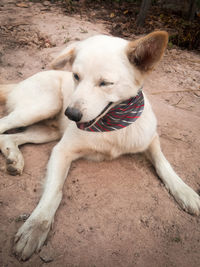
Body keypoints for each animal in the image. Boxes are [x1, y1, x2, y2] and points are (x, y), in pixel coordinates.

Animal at [0, 30, 199, 260]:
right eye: (75, 76)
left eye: (105, 83)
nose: (71, 114)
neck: (112, 127)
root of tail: (19, 83)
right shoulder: (62, 150)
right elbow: (54, 191)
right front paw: (35, 227)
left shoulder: (151, 139)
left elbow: (164, 164)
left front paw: (185, 192)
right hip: (44, 107)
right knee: (3, 125)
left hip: (49, 130)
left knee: (8, 137)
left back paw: (14, 158)